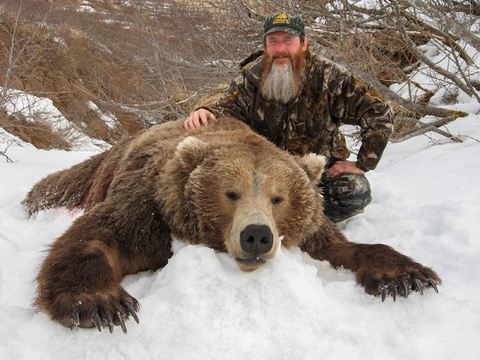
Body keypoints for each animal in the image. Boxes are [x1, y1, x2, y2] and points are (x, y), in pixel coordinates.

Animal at [24, 118, 440, 334]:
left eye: (278, 197)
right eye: (231, 193)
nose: (257, 235)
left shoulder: (307, 231)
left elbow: (338, 245)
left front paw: (405, 275)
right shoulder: (150, 210)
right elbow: (97, 236)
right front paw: (99, 302)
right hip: (98, 172)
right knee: (59, 184)